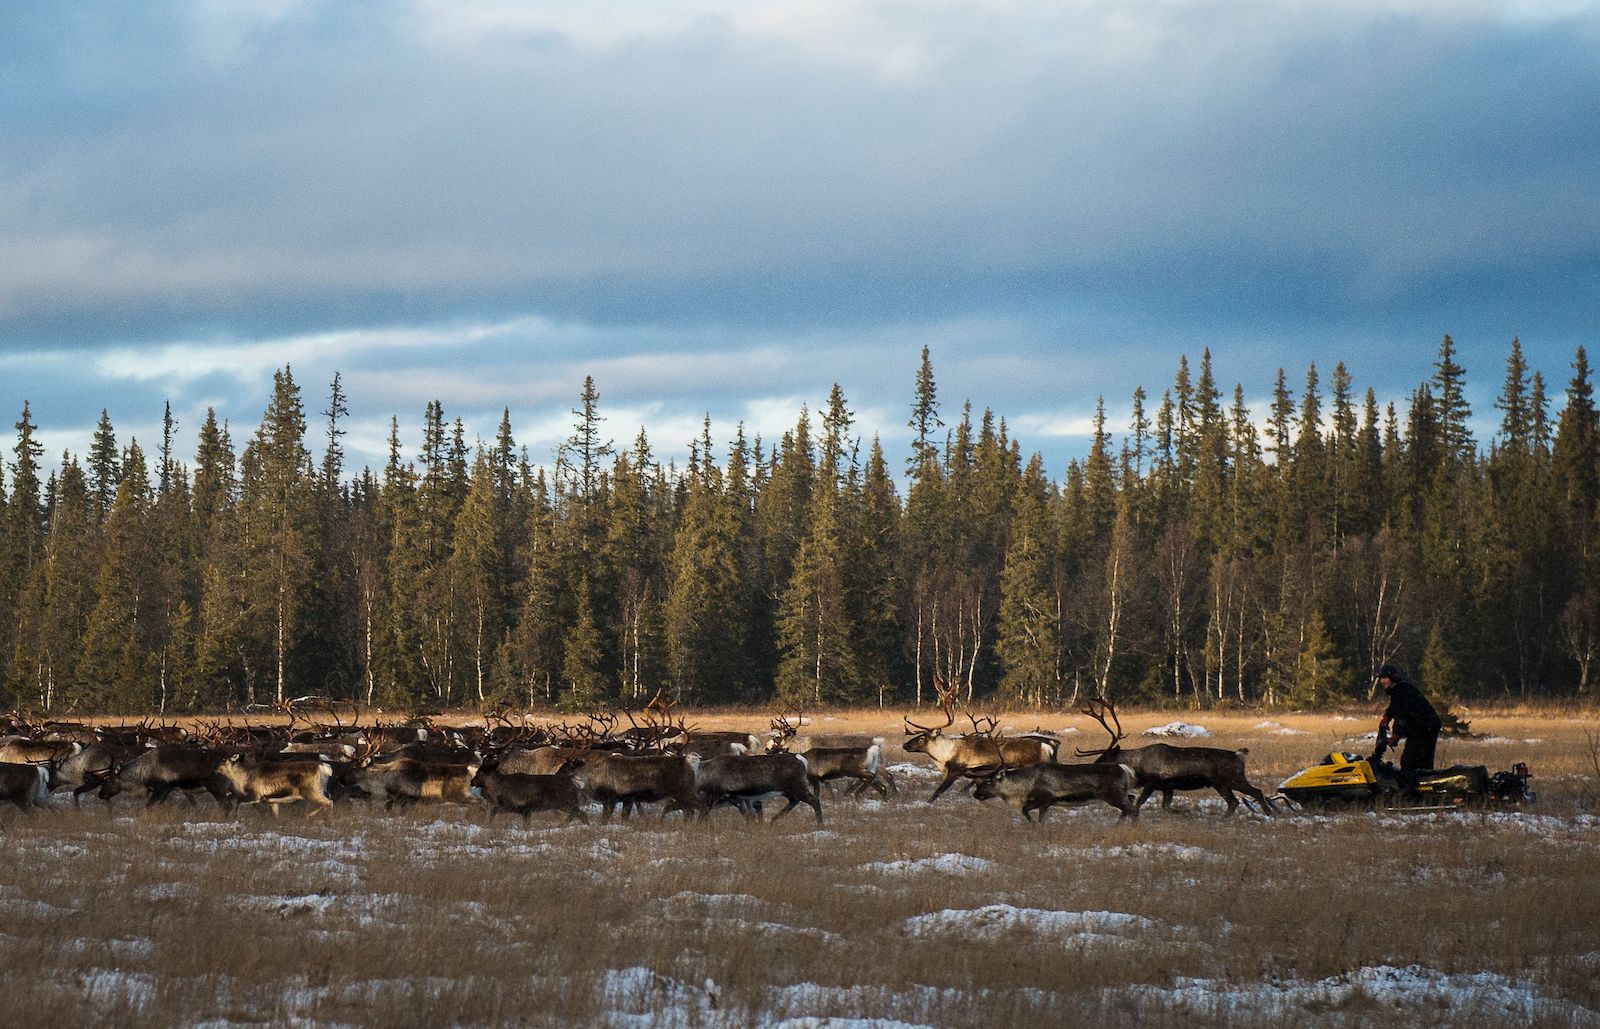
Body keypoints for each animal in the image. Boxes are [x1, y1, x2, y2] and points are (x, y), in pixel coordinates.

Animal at [1075, 698, 1275, 816]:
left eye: (1107, 756)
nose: (1094, 765)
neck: (1137, 766)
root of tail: (1240, 755)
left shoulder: (1152, 783)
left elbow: (1139, 804)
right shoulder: (1167, 787)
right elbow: (1166, 807)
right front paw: (1181, 811)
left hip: (1232, 779)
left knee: (1253, 793)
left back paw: (1270, 813)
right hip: (1221, 783)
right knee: (1234, 802)